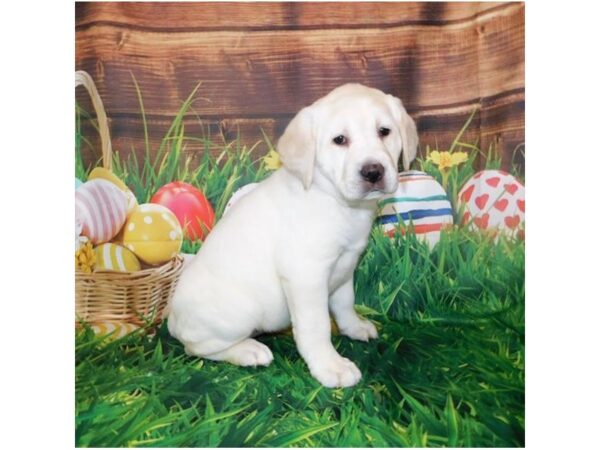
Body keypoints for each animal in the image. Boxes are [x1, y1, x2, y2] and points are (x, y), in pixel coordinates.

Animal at [166, 83, 414, 386]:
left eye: (384, 131)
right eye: (339, 140)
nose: (373, 171)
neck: (335, 201)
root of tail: (172, 319)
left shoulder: (345, 268)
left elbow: (345, 303)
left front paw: (354, 327)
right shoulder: (306, 276)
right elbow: (316, 326)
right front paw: (331, 366)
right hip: (239, 312)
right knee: (197, 347)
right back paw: (248, 351)